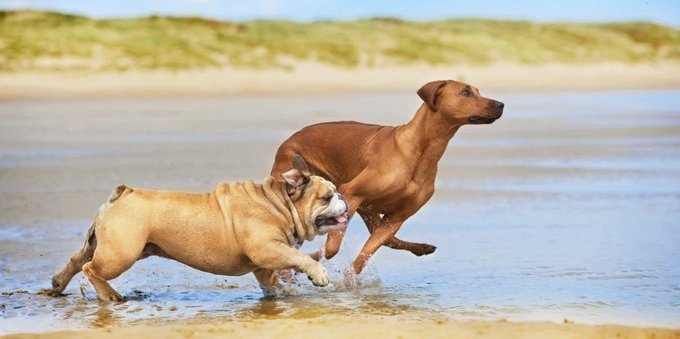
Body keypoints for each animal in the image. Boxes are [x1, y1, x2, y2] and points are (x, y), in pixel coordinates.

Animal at [47, 157, 348, 302]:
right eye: (326, 197)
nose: (342, 197)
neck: (278, 202)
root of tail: (124, 193)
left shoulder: (264, 261)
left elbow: (270, 281)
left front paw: (284, 295)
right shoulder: (267, 249)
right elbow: (299, 257)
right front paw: (318, 275)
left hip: (104, 245)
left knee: (77, 260)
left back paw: (58, 284)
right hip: (121, 255)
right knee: (91, 269)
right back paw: (109, 295)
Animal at [272, 80, 504, 276]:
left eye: (477, 91)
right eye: (465, 92)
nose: (501, 104)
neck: (420, 151)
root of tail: (288, 140)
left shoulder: (396, 217)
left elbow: (367, 252)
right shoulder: (351, 193)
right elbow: (331, 249)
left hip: (368, 210)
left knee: (388, 239)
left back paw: (421, 248)